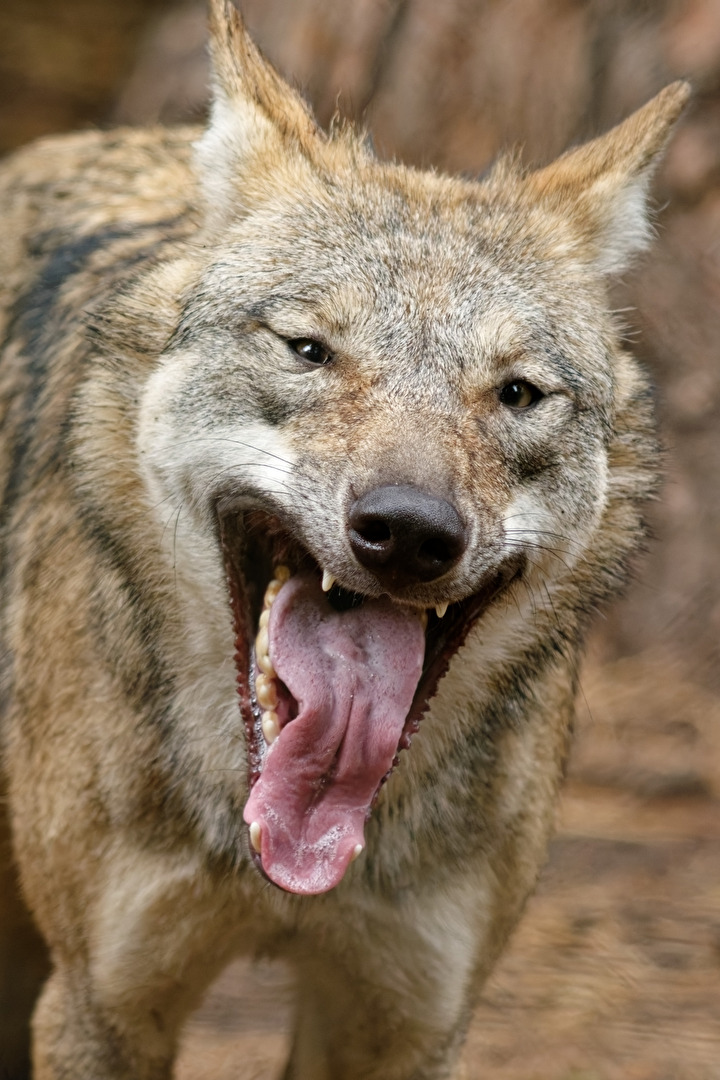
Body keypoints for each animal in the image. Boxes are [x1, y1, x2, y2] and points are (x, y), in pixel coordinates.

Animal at [0, 1, 688, 1077]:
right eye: (309, 350)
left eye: (517, 394)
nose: (407, 533)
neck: (284, 858)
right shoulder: (101, 1007)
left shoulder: (408, 1022)